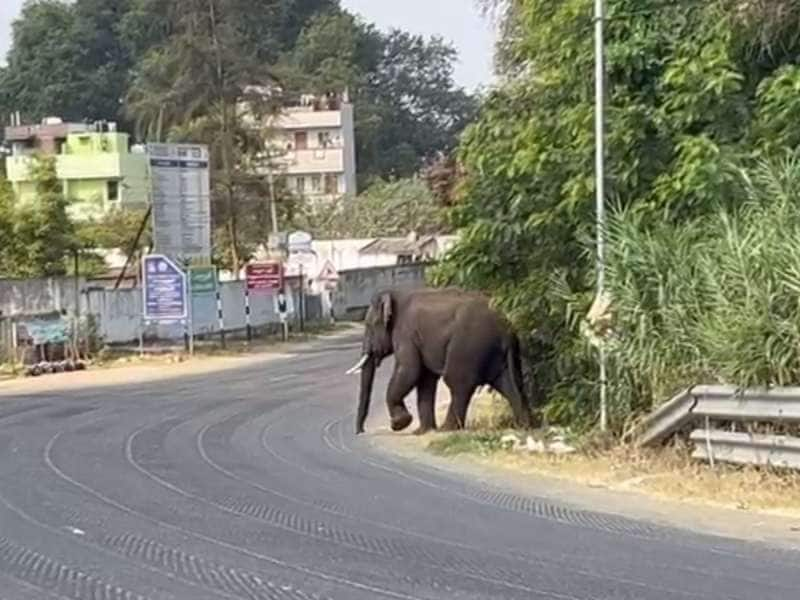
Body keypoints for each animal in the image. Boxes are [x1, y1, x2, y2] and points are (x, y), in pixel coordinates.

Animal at [346, 288, 536, 434]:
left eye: (369, 325)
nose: (360, 432)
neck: (396, 293)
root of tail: (507, 328)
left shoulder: (405, 334)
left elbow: (409, 370)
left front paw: (400, 424)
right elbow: (425, 379)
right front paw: (421, 432)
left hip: (468, 346)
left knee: (458, 383)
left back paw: (446, 429)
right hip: (496, 353)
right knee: (509, 383)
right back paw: (524, 426)